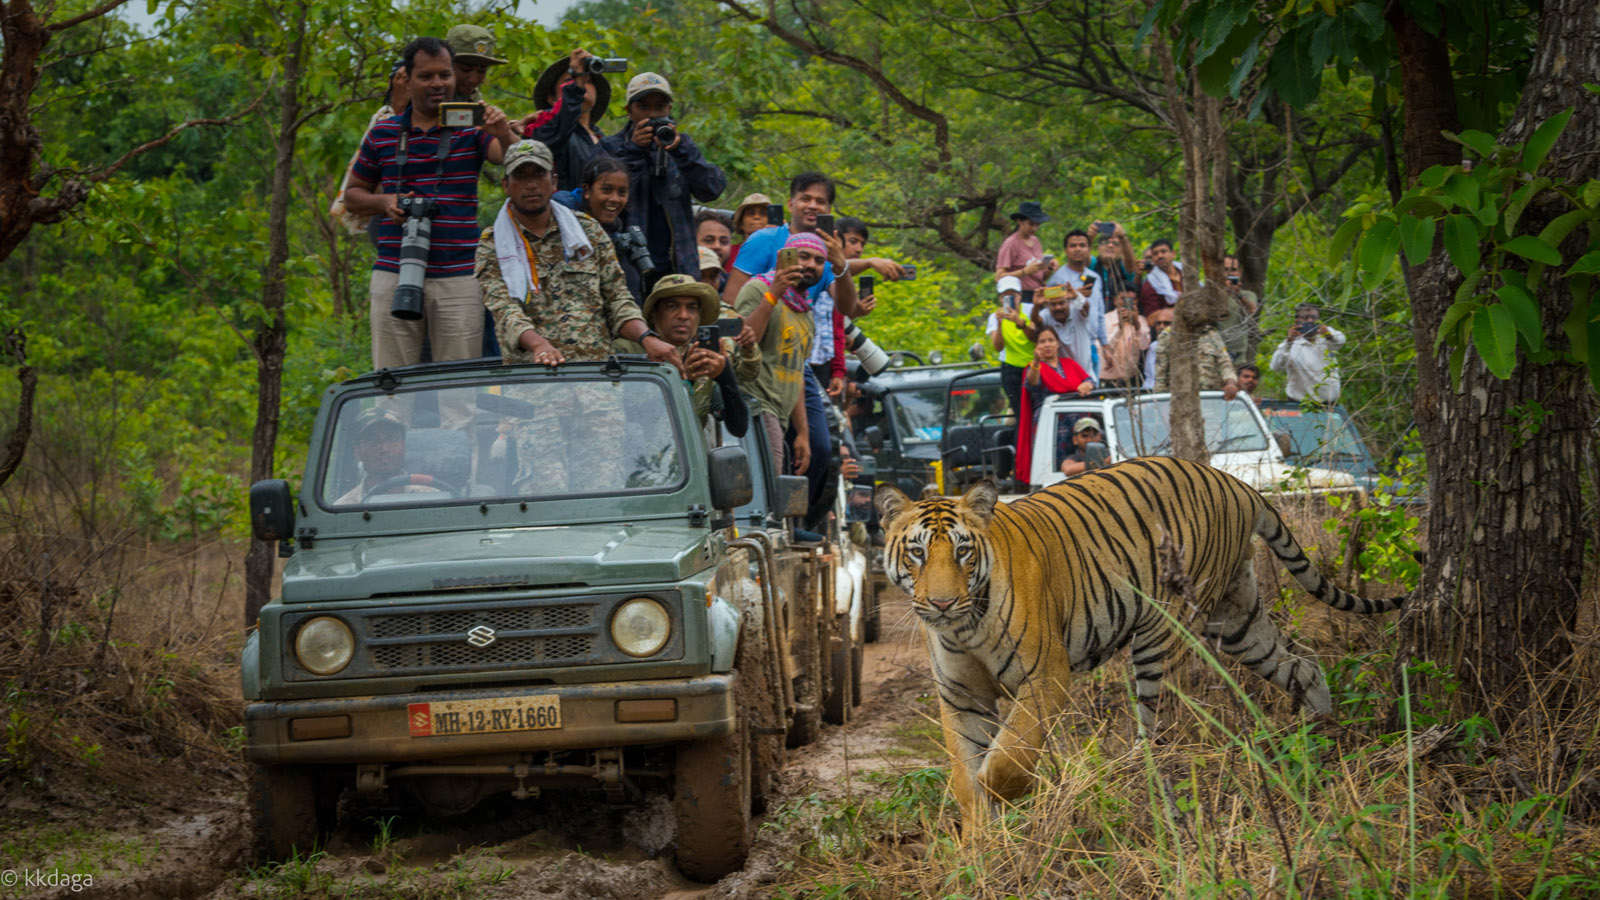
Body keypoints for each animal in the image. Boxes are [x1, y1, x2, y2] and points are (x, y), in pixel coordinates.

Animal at [870, 454, 1408, 819]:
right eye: (918, 553)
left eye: (962, 551)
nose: (941, 603)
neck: (963, 627)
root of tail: (1237, 483)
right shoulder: (959, 694)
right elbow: (965, 775)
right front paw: (981, 845)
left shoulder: (1045, 675)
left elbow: (1009, 757)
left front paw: (1010, 796)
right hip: (1238, 621)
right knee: (1303, 666)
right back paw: (1320, 733)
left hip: (1163, 629)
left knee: (1155, 726)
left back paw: (1141, 777)